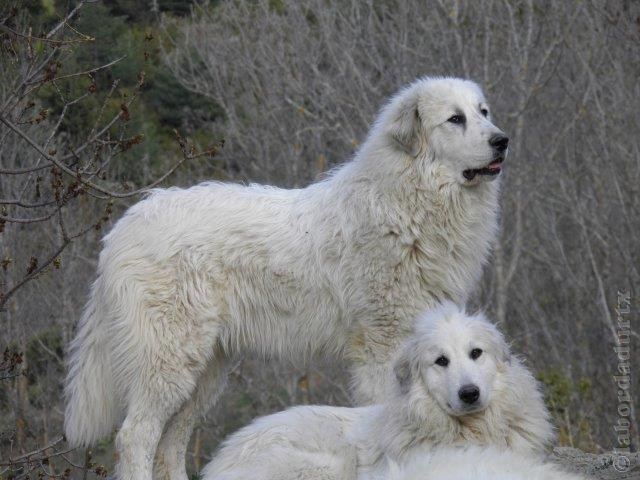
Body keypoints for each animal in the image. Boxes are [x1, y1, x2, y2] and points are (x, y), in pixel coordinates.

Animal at [62, 76, 508, 480]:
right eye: (455, 119)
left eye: (483, 112)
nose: (502, 140)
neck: (410, 202)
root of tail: (124, 227)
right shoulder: (384, 347)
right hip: (169, 359)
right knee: (135, 436)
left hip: (204, 371)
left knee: (170, 441)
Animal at [202, 304, 552, 480]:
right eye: (441, 361)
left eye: (476, 353)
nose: (469, 393)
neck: (470, 431)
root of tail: (223, 456)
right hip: (327, 465)